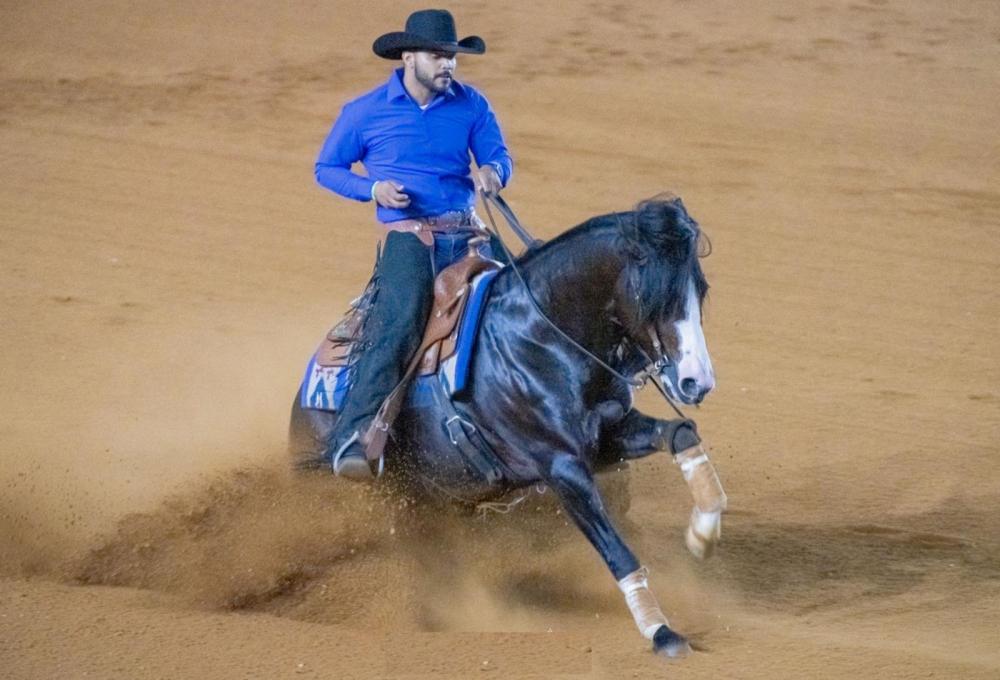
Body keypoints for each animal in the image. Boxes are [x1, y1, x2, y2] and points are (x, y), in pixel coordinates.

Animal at [290, 198, 728, 660]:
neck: (544, 337)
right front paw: (662, 632)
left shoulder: (607, 438)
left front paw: (702, 535)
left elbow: (681, 433)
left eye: (700, 291)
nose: (697, 382)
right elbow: (617, 550)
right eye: (658, 294)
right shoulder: (560, 465)